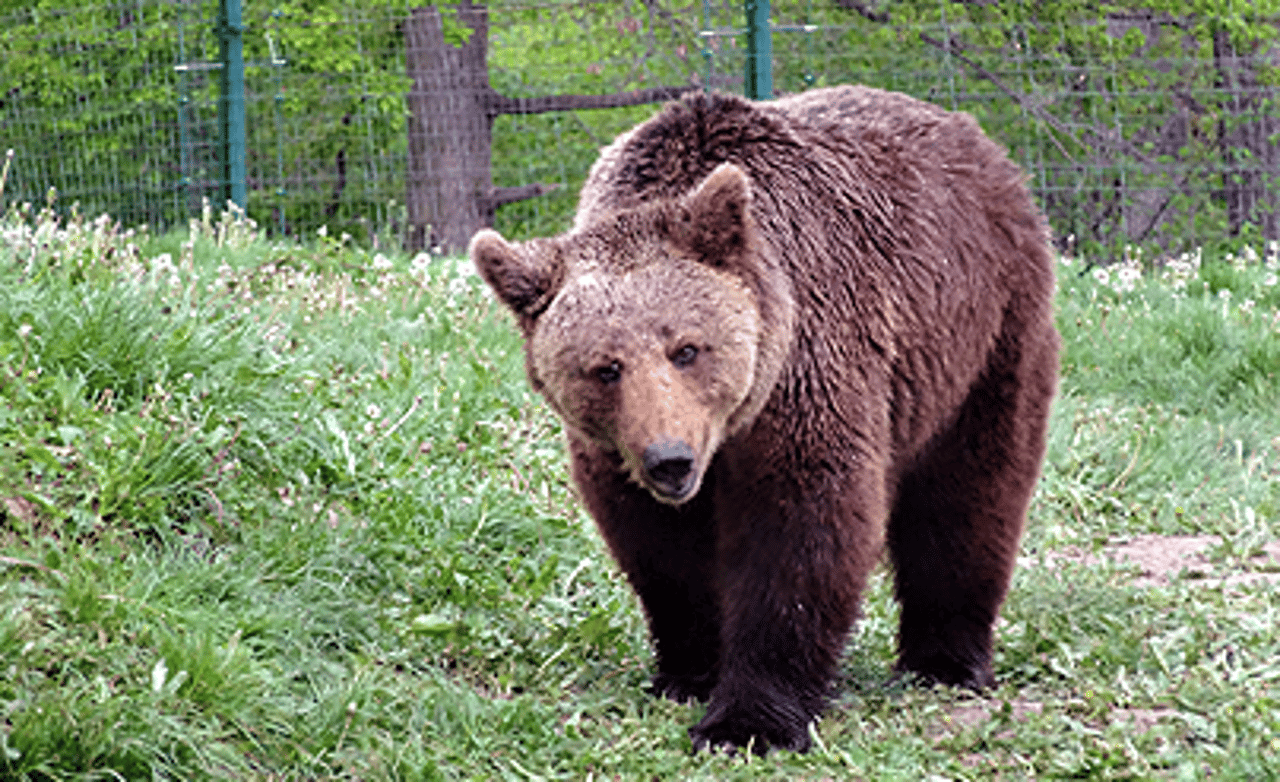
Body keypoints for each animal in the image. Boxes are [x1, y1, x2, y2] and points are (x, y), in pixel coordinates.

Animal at [471, 83, 1059, 752]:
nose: (669, 460)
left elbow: (799, 532)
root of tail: (978, 140)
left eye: (687, 348)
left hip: (982, 332)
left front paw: (748, 720)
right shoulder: (616, 452)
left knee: (968, 492)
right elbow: (660, 549)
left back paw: (945, 661)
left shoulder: (806, 367)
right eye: (604, 368)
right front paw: (689, 671)